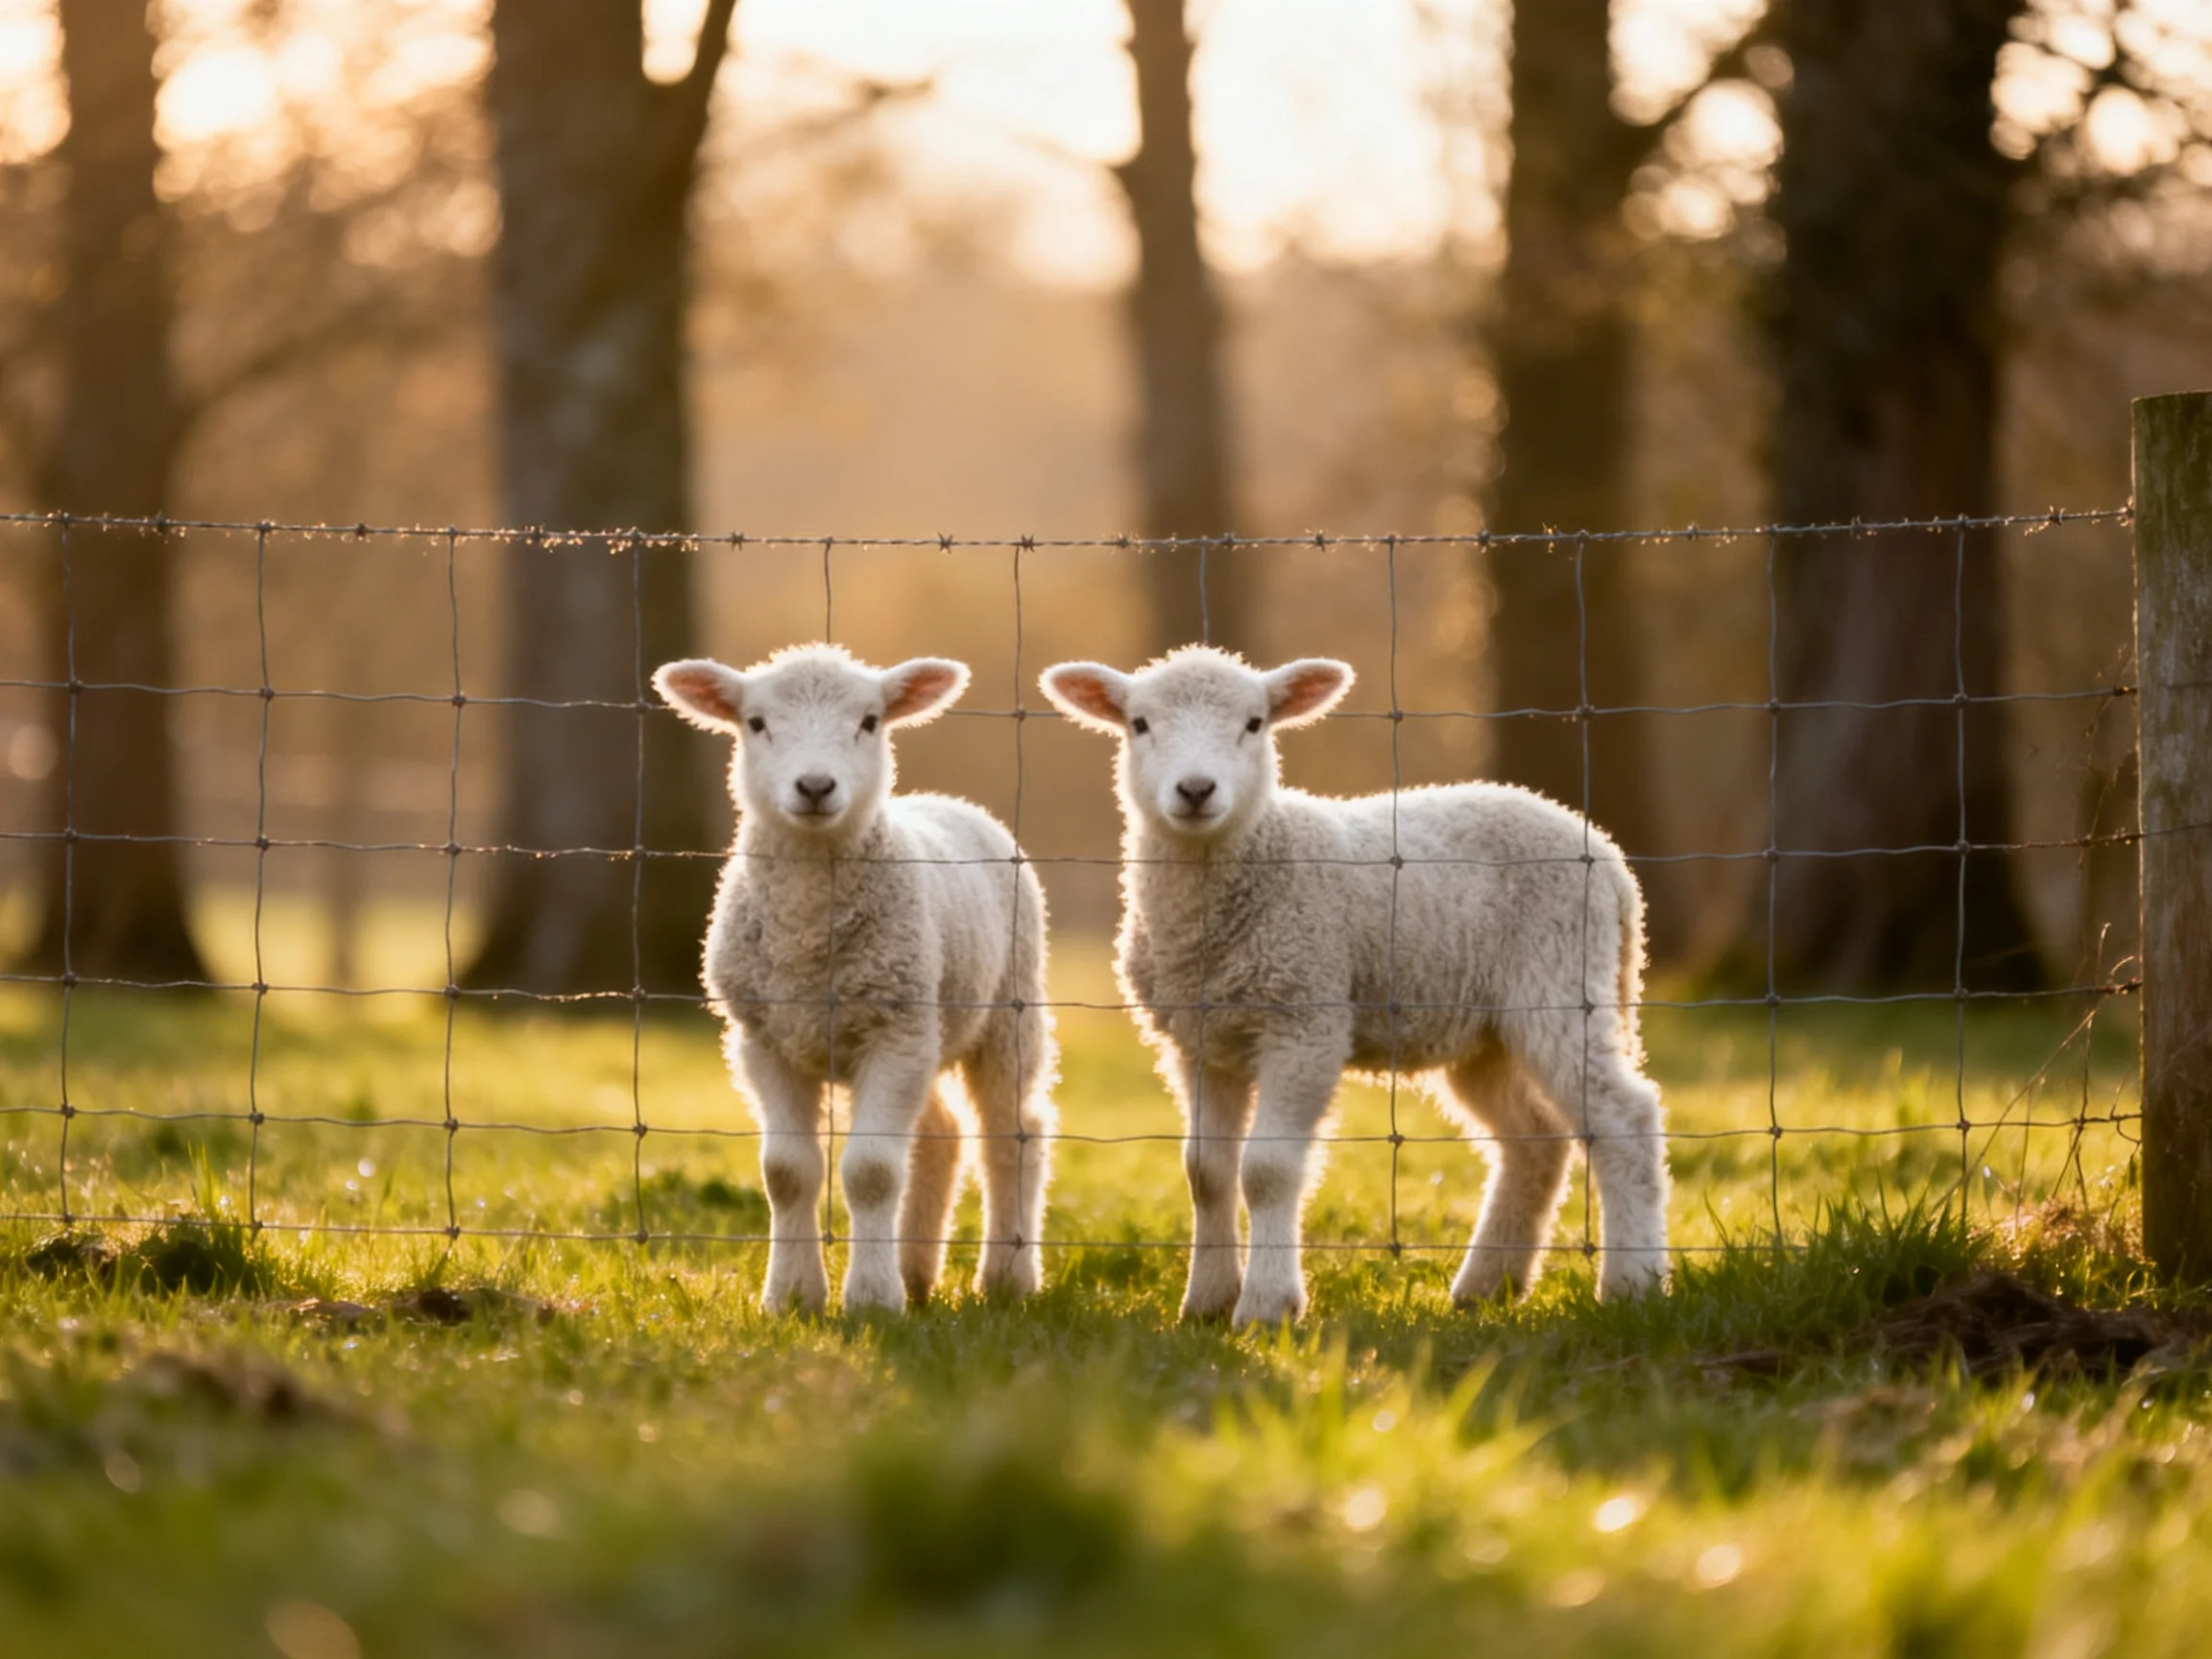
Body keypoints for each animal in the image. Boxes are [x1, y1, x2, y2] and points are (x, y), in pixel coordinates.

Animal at [654, 644, 1056, 1314]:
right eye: (756, 723)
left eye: (870, 721)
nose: (816, 786)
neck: (808, 934)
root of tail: (949, 800)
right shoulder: (763, 1040)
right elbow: (787, 1172)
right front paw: (792, 1296)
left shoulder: (895, 1030)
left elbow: (871, 1171)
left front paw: (872, 1300)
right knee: (939, 1134)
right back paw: (916, 1271)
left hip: (1008, 1009)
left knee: (1011, 1133)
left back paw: (1007, 1278)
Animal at [1040, 646, 1669, 1326]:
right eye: (1140, 724)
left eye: (1255, 723)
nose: (1196, 790)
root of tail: (1605, 855)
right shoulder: (1200, 1042)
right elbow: (1205, 1171)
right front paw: (1205, 1302)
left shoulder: (1306, 1020)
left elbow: (1266, 1169)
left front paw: (1266, 1307)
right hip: (1484, 1032)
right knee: (1535, 1140)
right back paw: (1486, 1286)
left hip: (1560, 980)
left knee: (1624, 1118)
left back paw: (1632, 1284)